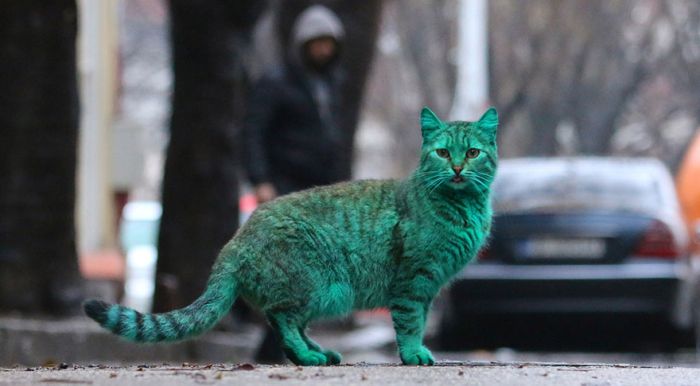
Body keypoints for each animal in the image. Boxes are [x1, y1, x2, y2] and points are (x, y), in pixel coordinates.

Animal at [83, 107, 498, 366]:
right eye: (442, 153)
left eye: (472, 152)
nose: (457, 168)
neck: (462, 206)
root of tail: (235, 240)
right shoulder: (414, 281)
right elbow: (411, 324)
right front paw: (414, 355)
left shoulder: (428, 288)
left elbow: (421, 321)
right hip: (314, 283)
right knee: (282, 319)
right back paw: (310, 355)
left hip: (322, 292)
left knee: (291, 323)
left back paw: (318, 353)